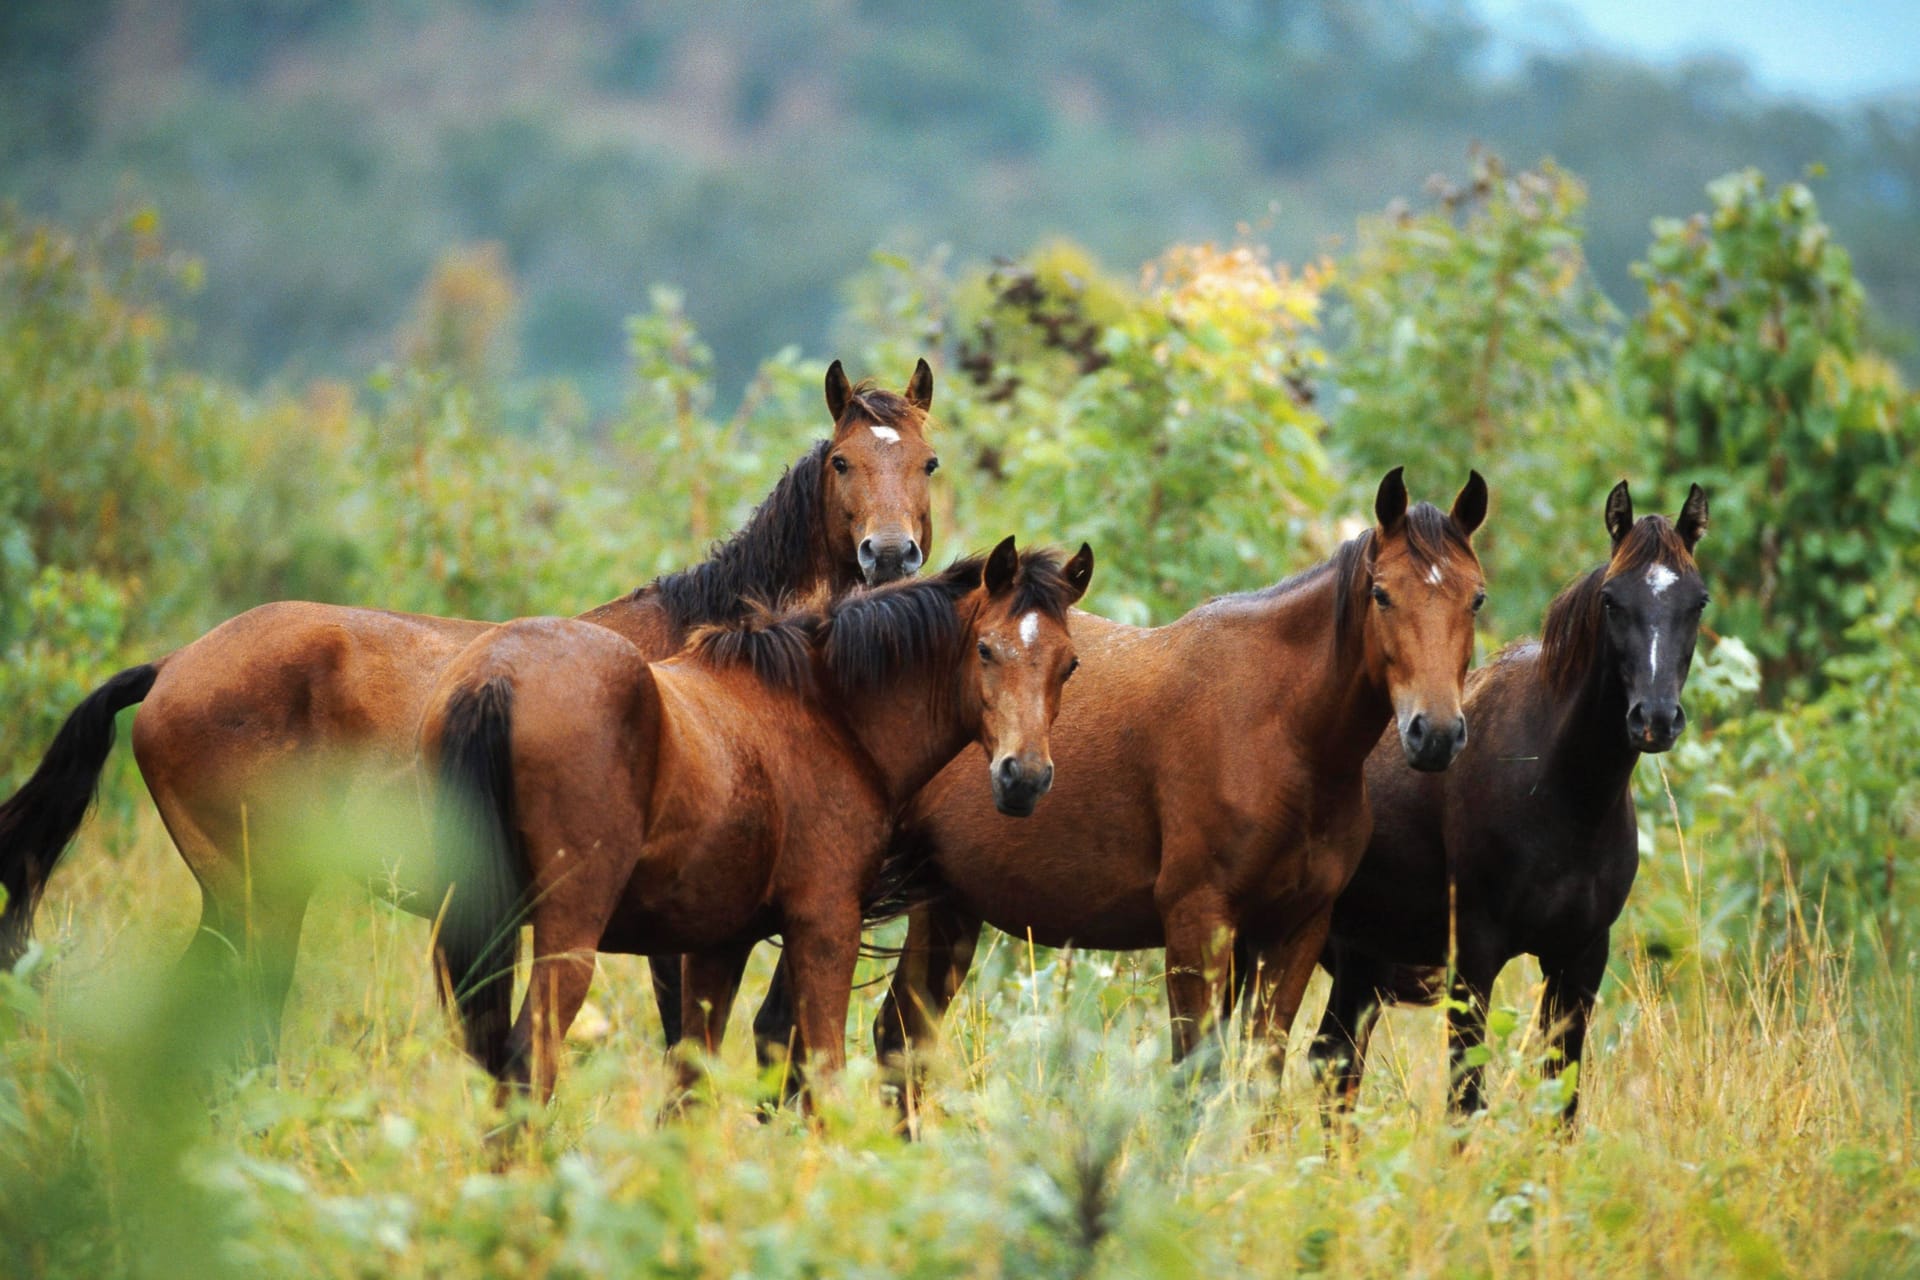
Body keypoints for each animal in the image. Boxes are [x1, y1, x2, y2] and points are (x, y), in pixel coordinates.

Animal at [422, 541, 1098, 1105]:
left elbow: (688, 1090)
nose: (1023, 778)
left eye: (1068, 665)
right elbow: (822, 1082)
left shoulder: (718, 945)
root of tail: (498, 675)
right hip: (568, 938)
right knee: (524, 1066)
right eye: (986, 649)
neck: (827, 712)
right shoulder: (825, 928)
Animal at [737, 470, 1482, 1090]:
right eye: (1382, 594)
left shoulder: (1293, 932)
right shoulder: (1197, 923)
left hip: (945, 904)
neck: (1279, 732)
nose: (1436, 733)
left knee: (897, 1040)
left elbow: (1261, 1078)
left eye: (1475, 599)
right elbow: (1196, 1078)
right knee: (787, 1033)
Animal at [1320, 479, 1712, 1120]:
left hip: (1360, 967)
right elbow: (1464, 1100)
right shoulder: (1474, 962)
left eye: (1698, 602)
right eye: (1611, 600)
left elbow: (1562, 1101)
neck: (1562, 794)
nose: (1654, 719)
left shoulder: (1579, 960)